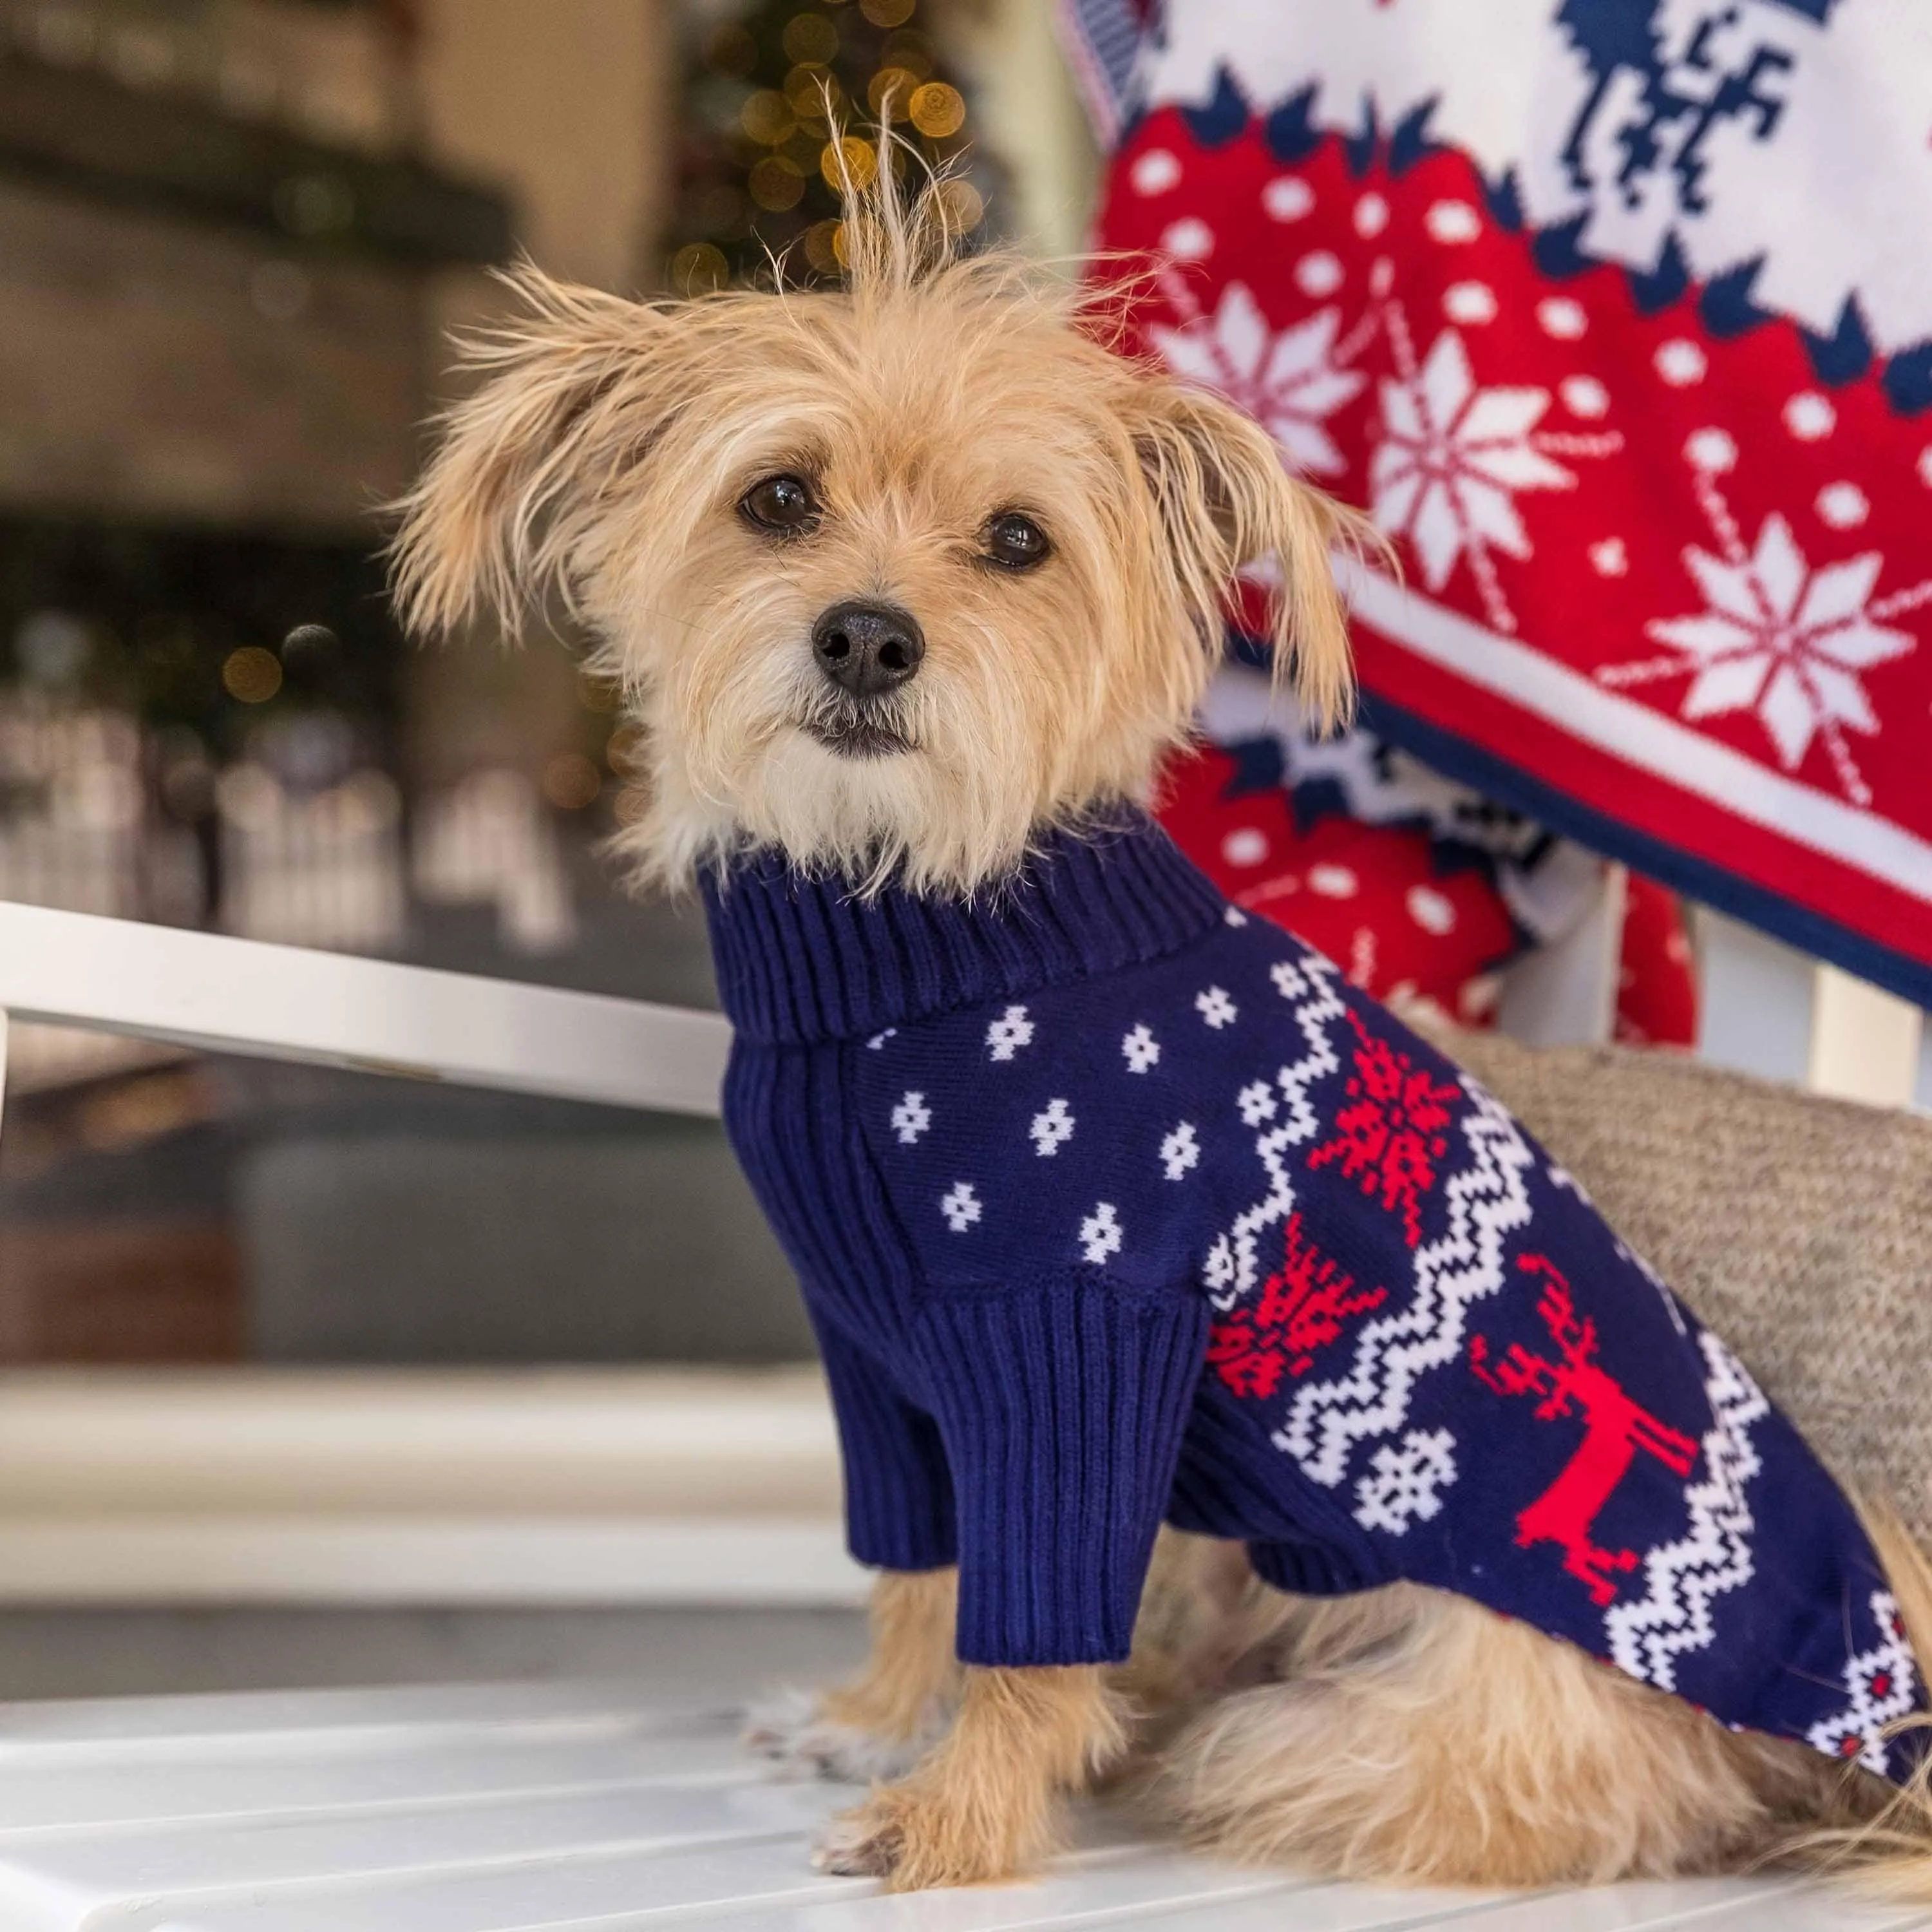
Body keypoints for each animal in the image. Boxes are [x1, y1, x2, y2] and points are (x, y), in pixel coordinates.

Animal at [388, 155, 1932, 1901]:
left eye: (1016, 541)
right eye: (776, 500)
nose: (867, 637)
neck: (925, 932)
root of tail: (1854, 1724)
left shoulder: (1077, 1346)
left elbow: (1028, 1627)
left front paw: (957, 1816)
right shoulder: (886, 1372)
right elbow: (920, 1575)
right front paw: (877, 1721)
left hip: (1379, 1713)